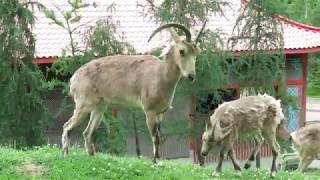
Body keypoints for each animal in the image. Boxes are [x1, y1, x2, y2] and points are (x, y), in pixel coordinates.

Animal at [62, 22, 206, 162]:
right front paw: (155, 162)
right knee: (67, 126)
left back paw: (91, 156)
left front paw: (159, 161)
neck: (160, 74)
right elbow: (155, 137)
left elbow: (159, 136)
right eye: (182, 51)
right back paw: (65, 153)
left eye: (196, 53)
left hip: (99, 107)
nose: (191, 76)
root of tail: (74, 78)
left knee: (88, 132)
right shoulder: (149, 110)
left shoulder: (160, 113)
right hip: (83, 105)